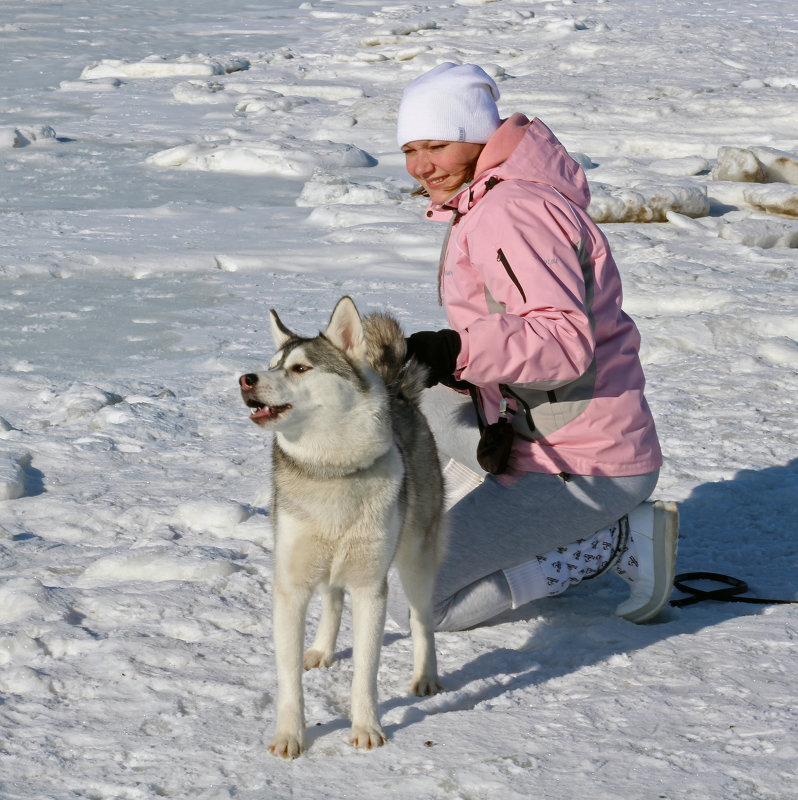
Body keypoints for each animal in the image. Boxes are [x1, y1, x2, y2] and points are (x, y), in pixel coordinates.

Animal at [241, 296, 446, 760]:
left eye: (300, 368)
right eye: (271, 364)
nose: (246, 379)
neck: (330, 472)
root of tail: (395, 389)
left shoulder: (371, 588)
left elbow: (365, 673)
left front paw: (367, 728)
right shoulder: (290, 587)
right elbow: (288, 679)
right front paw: (290, 736)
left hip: (416, 560)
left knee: (422, 620)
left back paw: (425, 675)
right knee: (332, 598)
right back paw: (321, 648)